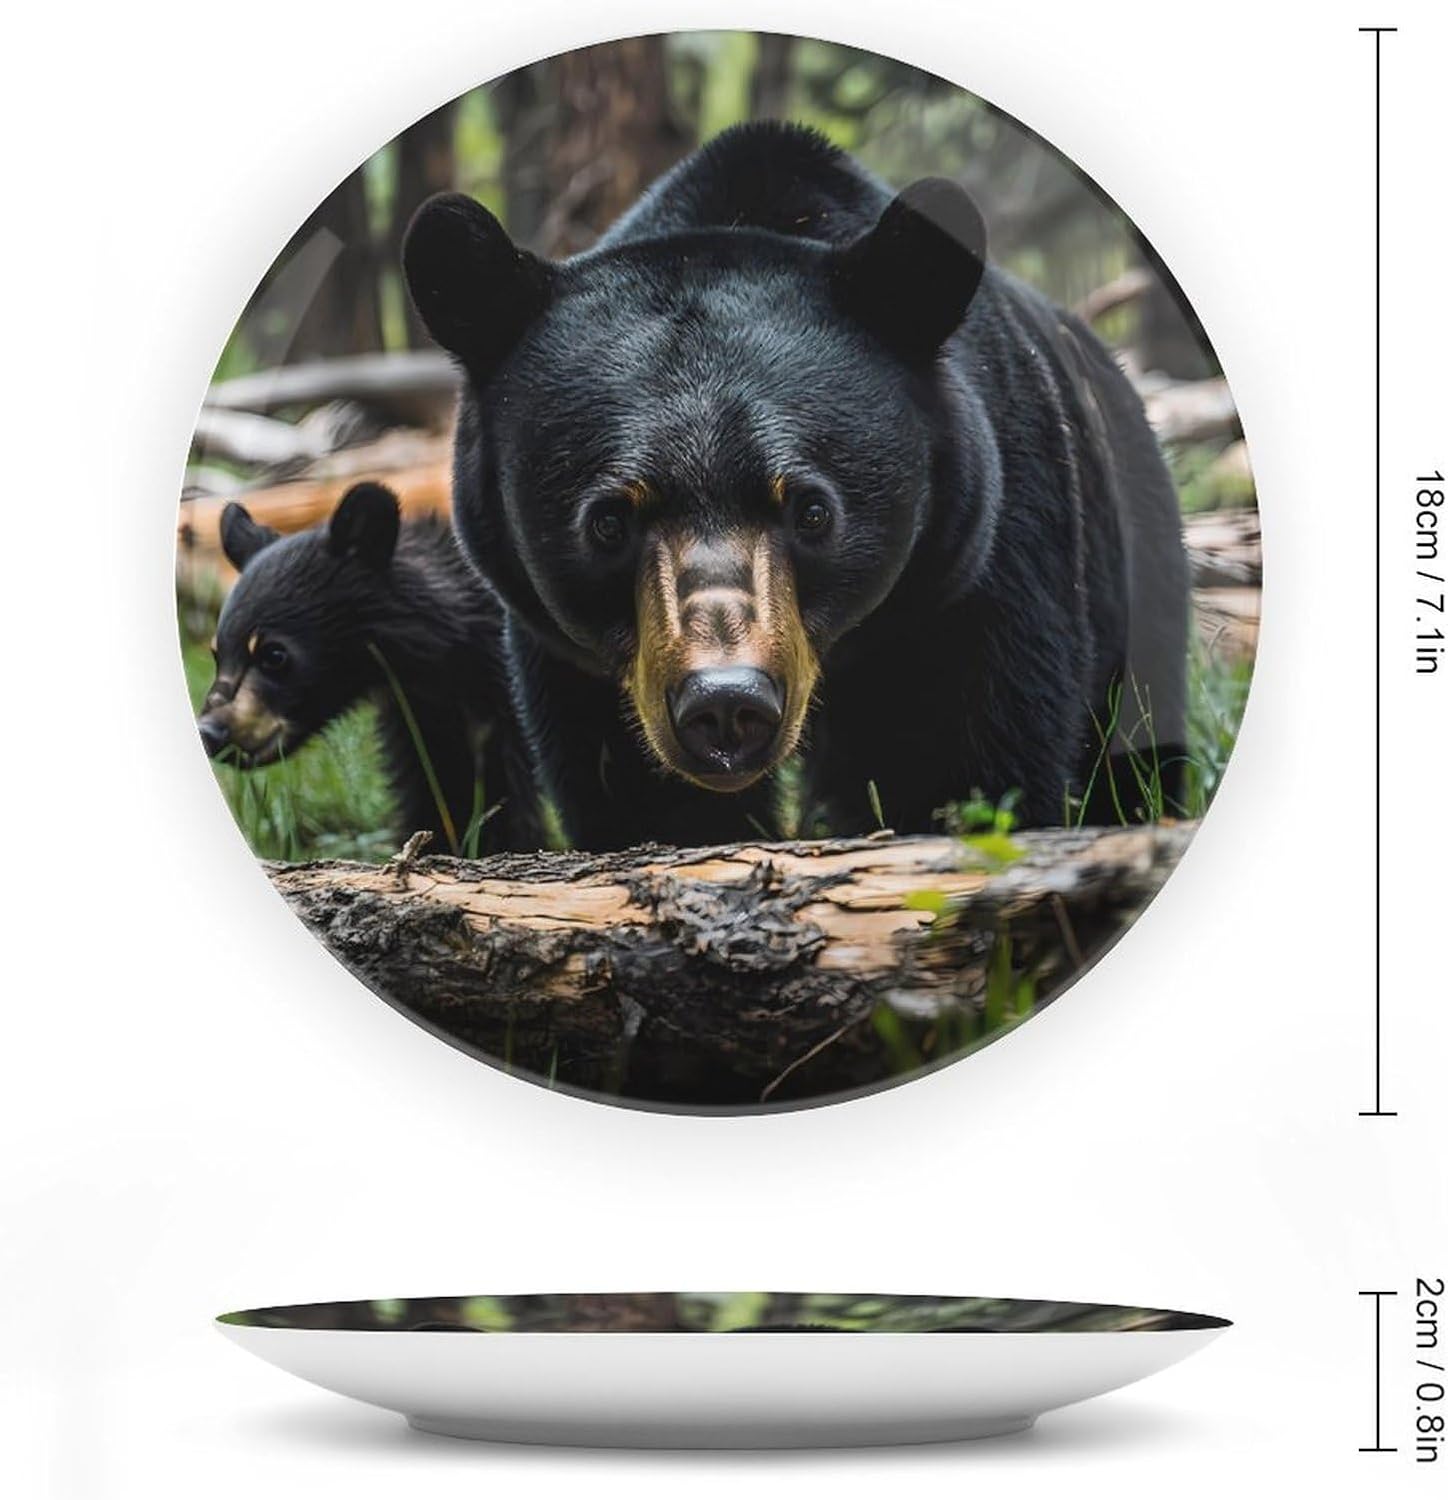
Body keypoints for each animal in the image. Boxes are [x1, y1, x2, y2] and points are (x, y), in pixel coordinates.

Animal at [400, 121, 1189, 847]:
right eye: (608, 522)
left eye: (811, 511)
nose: (725, 703)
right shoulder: (571, 659)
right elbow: (634, 799)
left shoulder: (976, 572)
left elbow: (964, 762)